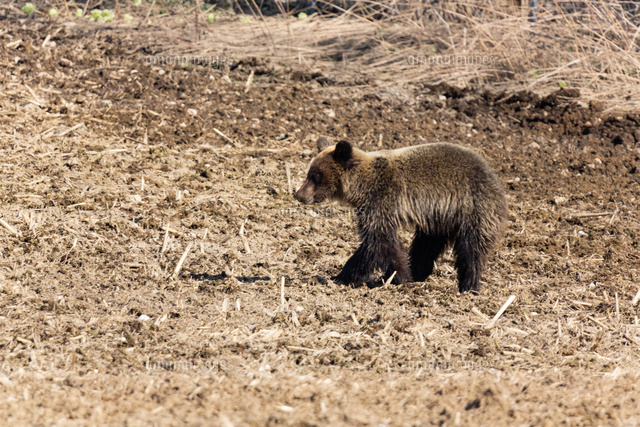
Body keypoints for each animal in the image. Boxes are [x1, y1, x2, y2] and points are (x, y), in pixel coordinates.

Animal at [292, 139, 508, 292]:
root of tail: (495, 178)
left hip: (472, 207)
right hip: (439, 218)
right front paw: (399, 276)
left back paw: (469, 286)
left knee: (471, 249)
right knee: (425, 246)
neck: (361, 188)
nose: (299, 194)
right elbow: (388, 245)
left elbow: (375, 242)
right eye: (309, 174)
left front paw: (340, 276)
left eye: (315, 176)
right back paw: (419, 273)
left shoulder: (381, 201)